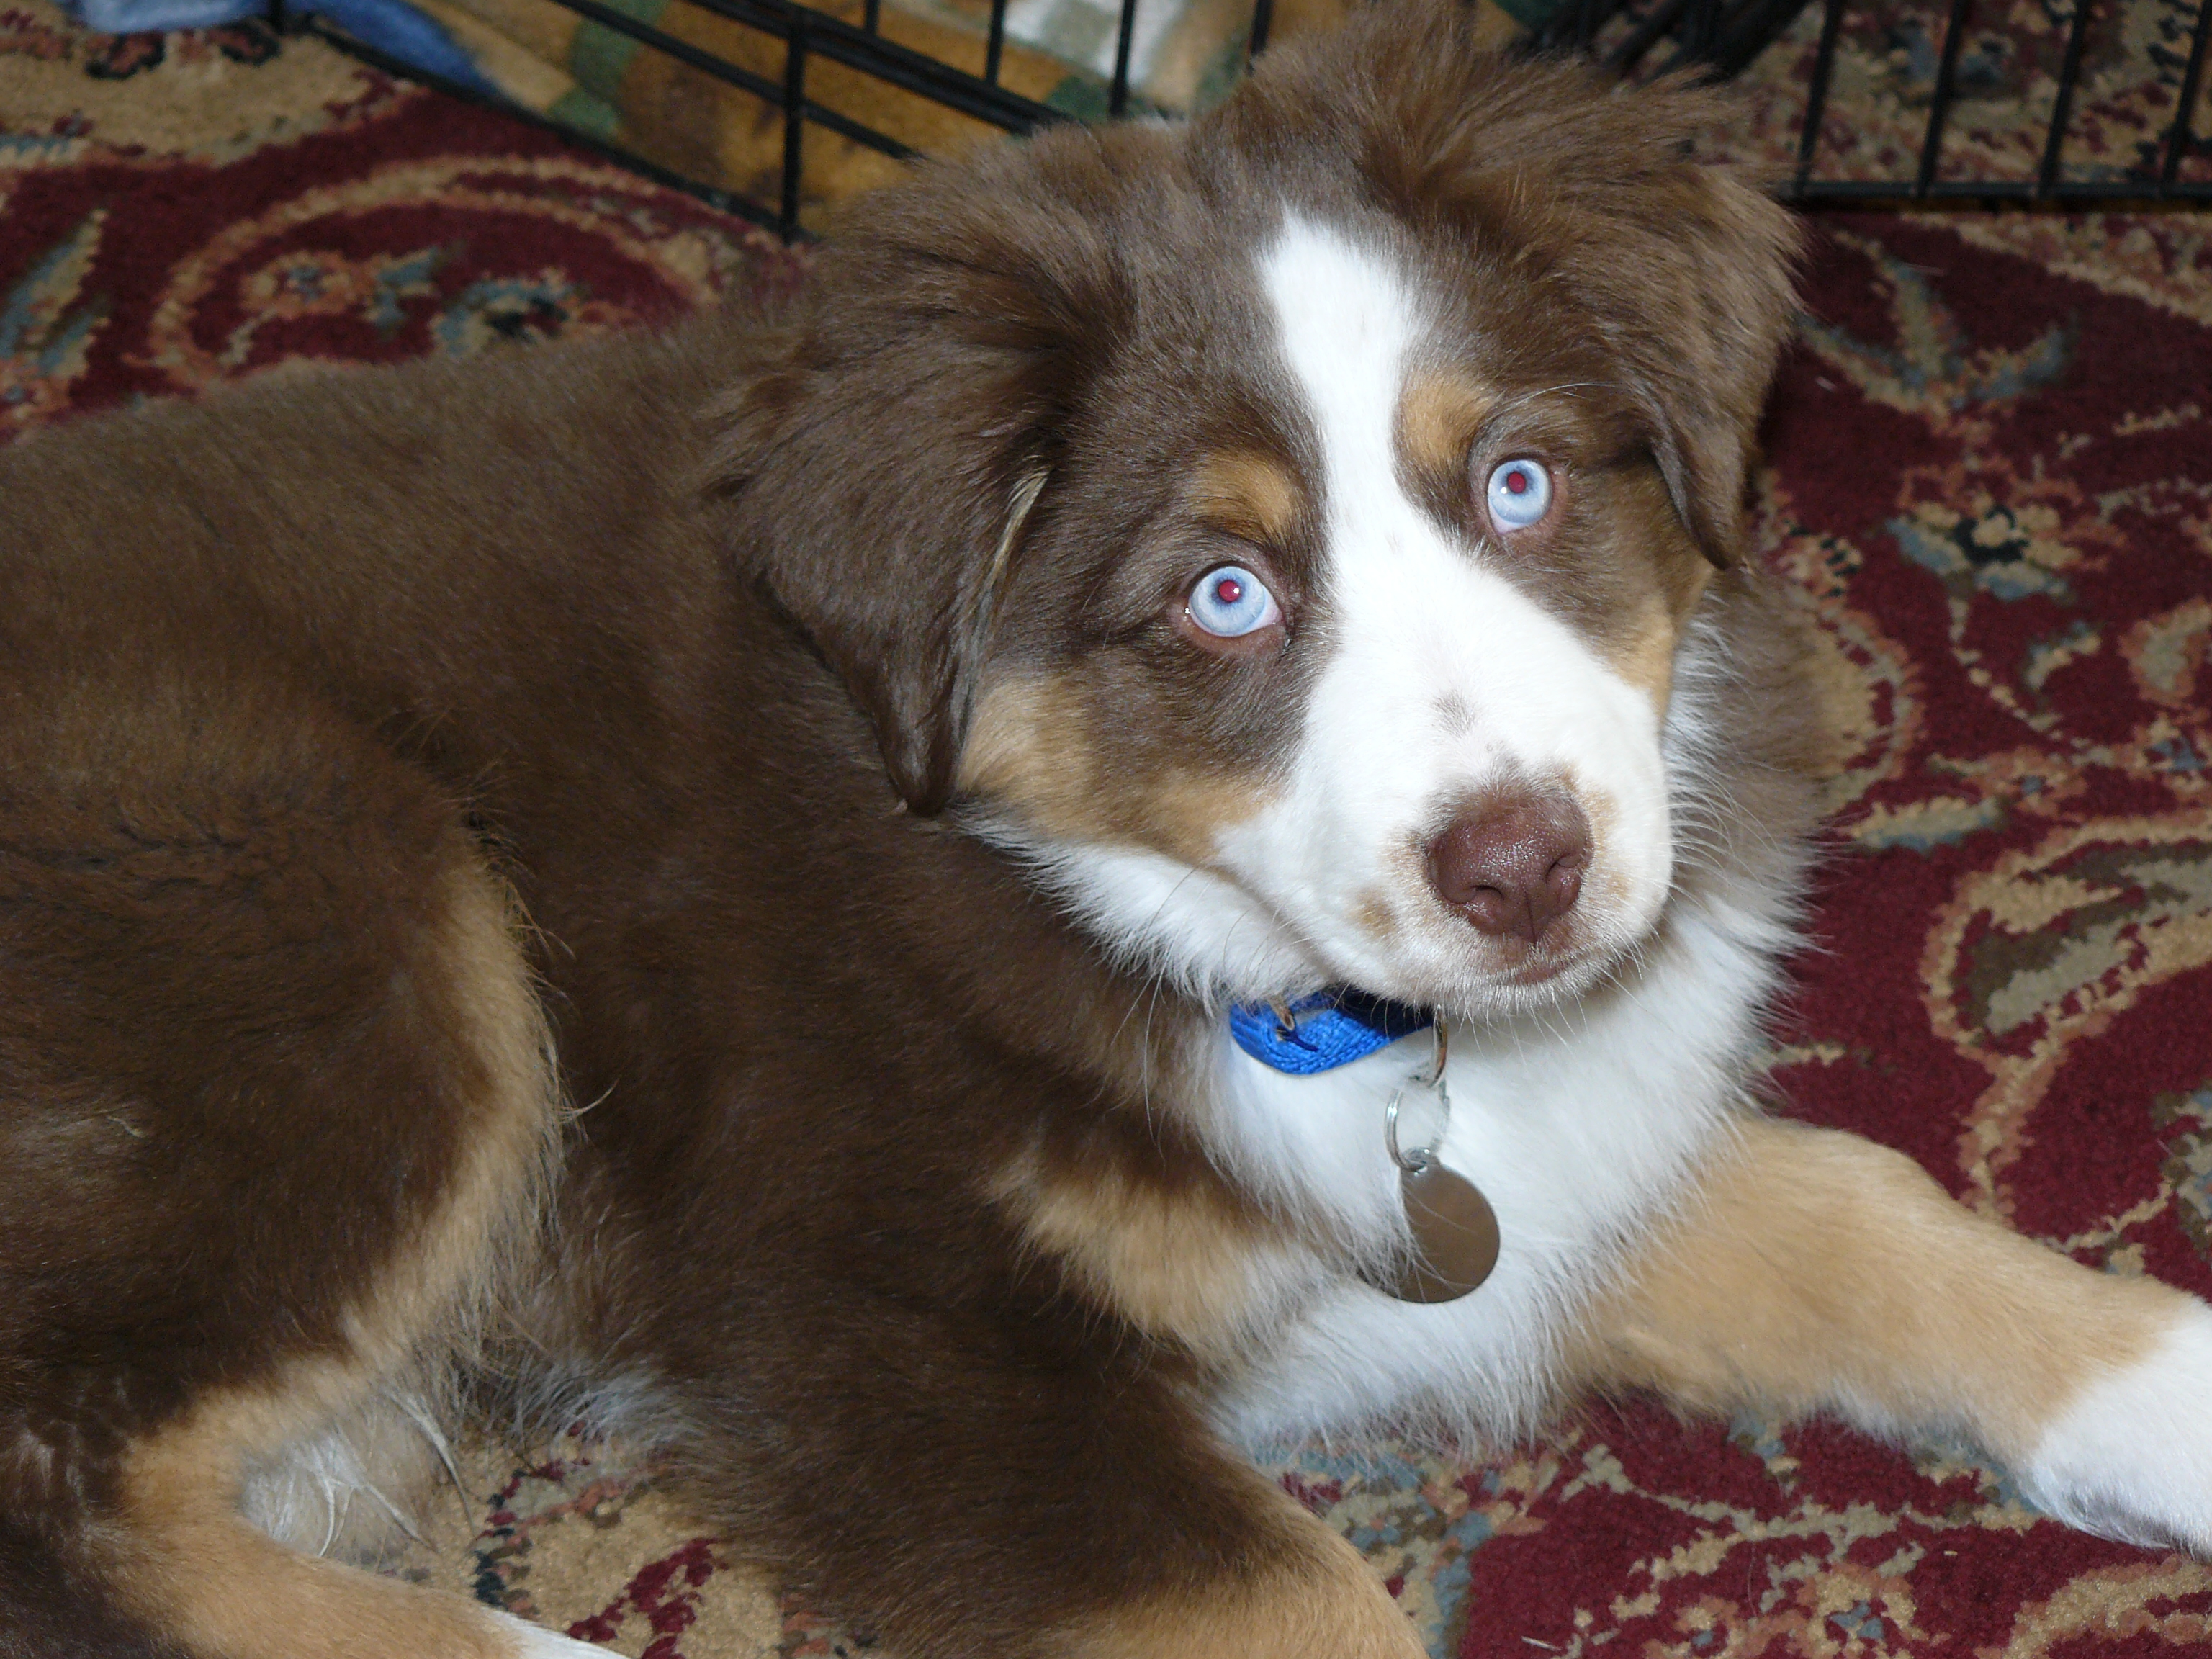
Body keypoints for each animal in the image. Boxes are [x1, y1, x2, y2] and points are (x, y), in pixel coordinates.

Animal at [4, 6, 2210, 1655]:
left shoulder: (1546, 1167)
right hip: (330, 901)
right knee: (61, 1497)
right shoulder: (878, 1326)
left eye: (1515, 481)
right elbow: (1296, 1601)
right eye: (1222, 593)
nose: (1526, 875)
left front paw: (2169, 1387)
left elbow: (1855, 1202)